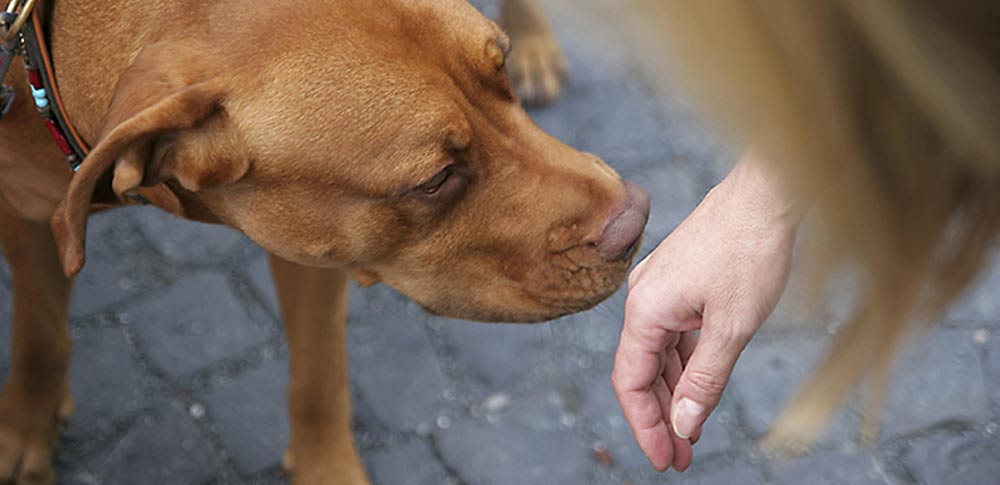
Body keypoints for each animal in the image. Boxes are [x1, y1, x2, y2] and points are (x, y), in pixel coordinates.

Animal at [0, 1, 640, 482]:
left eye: (500, 71)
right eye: (433, 181)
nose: (637, 221)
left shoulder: (314, 255)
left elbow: (318, 376)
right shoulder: (24, 214)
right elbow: (38, 336)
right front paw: (25, 430)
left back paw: (537, 37)